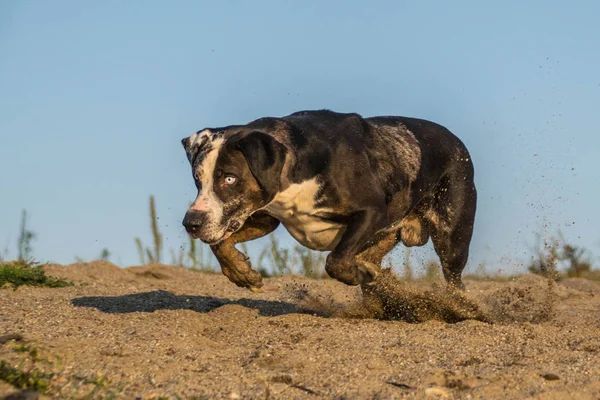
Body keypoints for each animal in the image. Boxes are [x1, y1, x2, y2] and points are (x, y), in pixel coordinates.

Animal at [180, 111, 476, 292]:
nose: (191, 223)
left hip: (452, 237)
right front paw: (242, 273)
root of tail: (458, 143)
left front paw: (361, 273)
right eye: (197, 178)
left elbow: (336, 260)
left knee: (455, 281)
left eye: (229, 179)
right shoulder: (263, 217)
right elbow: (220, 244)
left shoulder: (371, 212)